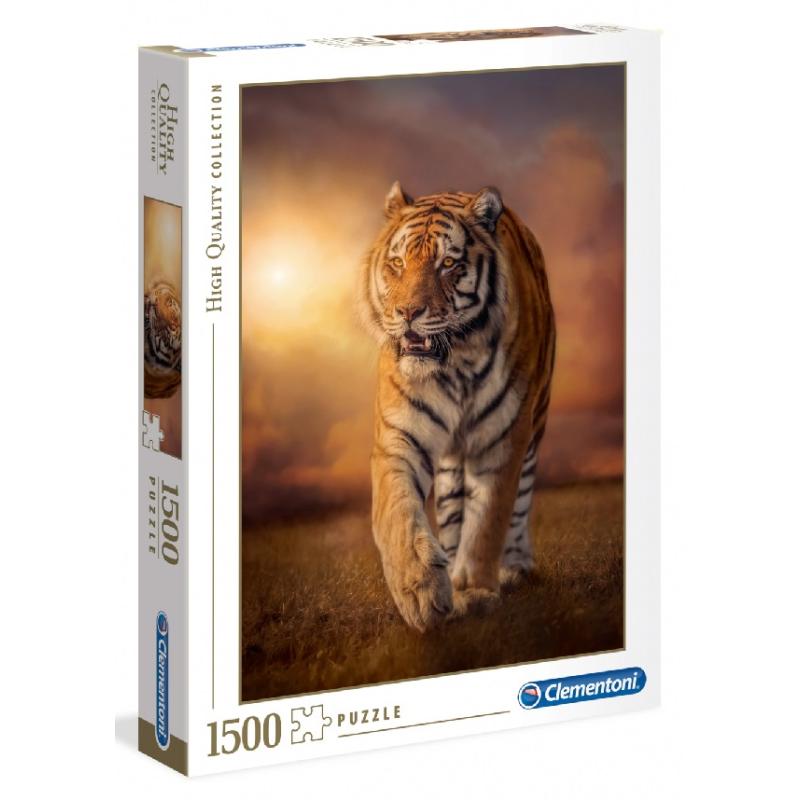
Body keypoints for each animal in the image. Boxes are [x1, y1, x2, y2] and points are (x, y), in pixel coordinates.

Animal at [358, 182, 556, 632]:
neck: (456, 364)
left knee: (520, 502)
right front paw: (421, 591)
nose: (408, 313)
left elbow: (488, 521)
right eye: (397, 263)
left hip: (535, 425)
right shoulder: (399, 436)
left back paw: (514, 566)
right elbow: (397, 512)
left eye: (448, 263)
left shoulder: (504, 438)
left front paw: (475, 590)